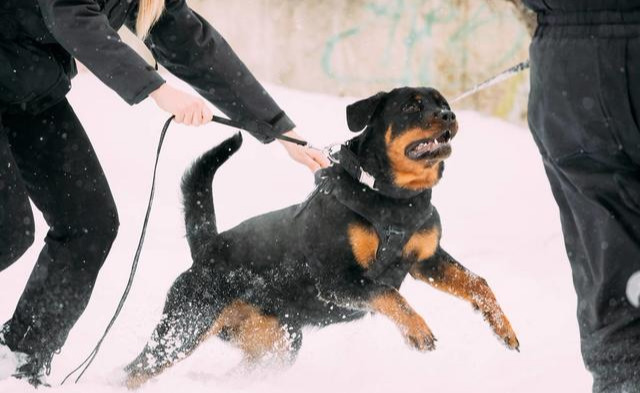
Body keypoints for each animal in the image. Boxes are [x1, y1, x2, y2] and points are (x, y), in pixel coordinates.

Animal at [125, 86, 520, 386]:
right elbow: (389, 294)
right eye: (412, 105)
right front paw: (417, 330)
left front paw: (504, 329)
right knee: (135, 369)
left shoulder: (427, 260)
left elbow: (478, 283)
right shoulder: (336, 279)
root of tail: (208, 245)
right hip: (186, 325)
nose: (449, 116)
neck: (395, 199)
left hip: (278, 345)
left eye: (443, 103)